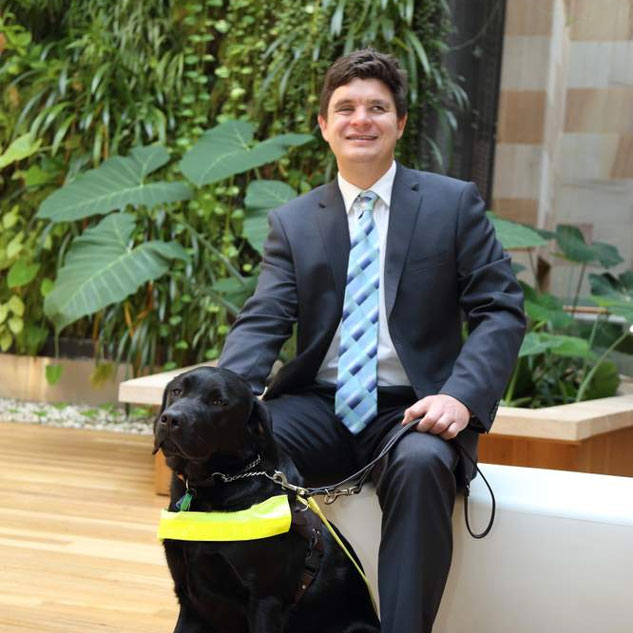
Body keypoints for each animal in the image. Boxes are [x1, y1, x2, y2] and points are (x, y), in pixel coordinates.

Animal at [154, 366, 380, 632]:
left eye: (218, 402)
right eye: (177, 391)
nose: (170, 419)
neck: (218, 483)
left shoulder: (265, 601)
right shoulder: (189, 598)